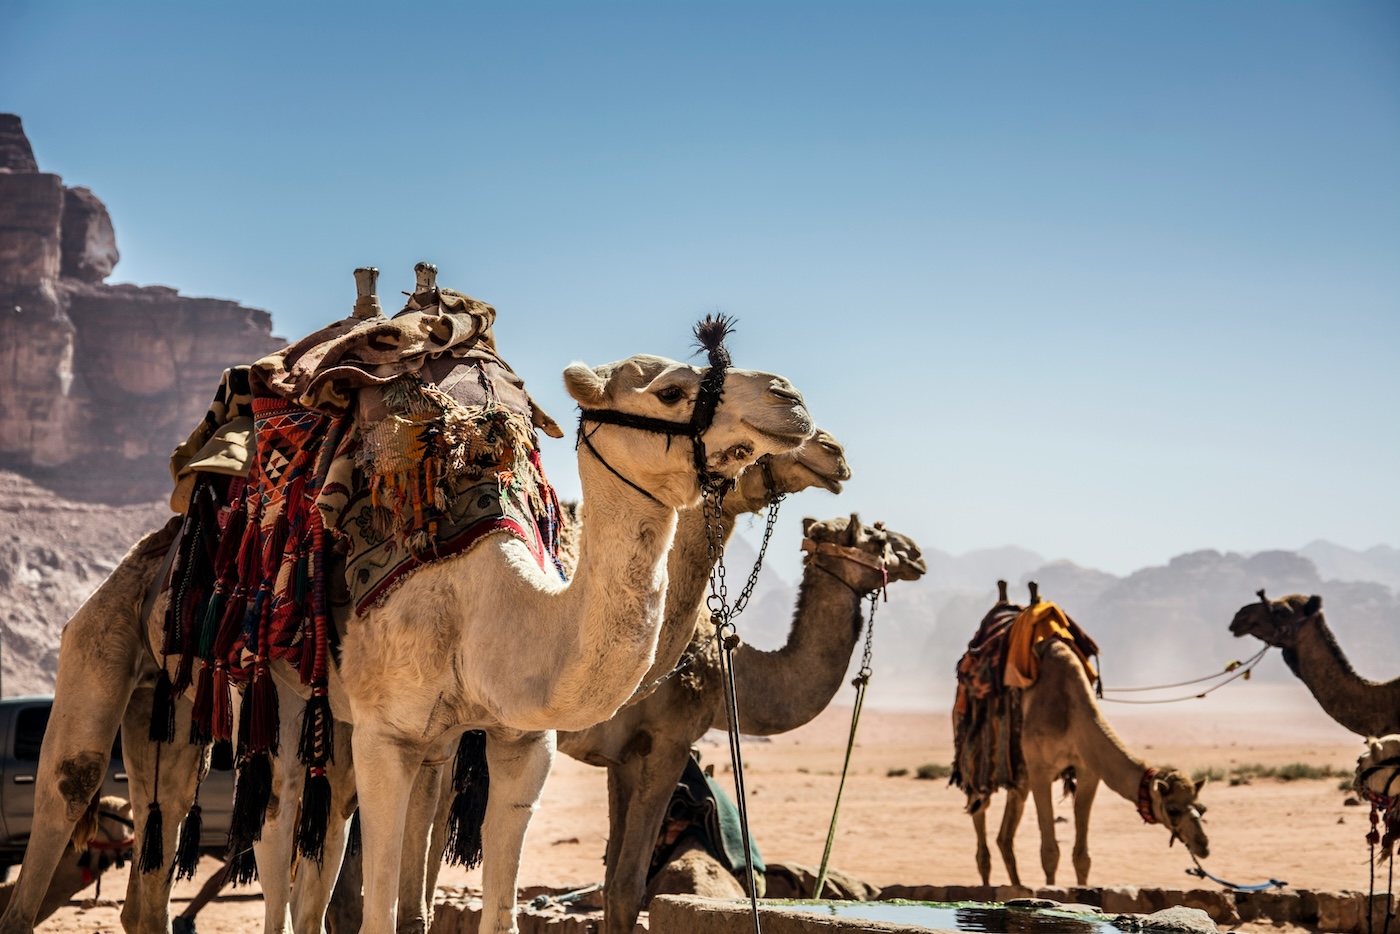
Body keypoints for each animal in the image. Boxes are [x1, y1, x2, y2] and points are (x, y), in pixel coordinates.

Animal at [557, 512, 929, 934]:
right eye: (876, 537)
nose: (917, 554)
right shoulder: (671, 739)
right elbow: (625, 889)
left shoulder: (626, 754)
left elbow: (610, 883)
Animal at [968, 588, 1209, 890]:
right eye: (1173, 809)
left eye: (1201, 808)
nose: (1203, 845)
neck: (1071, 711)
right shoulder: (1040, 770)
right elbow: (1050, 852)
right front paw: (1050, 890)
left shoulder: (1088, 772)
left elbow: (1082, 856)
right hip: (982, 760)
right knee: (980, 809)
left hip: (1018, 775)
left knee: (1005, 835)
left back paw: (1016, 885)